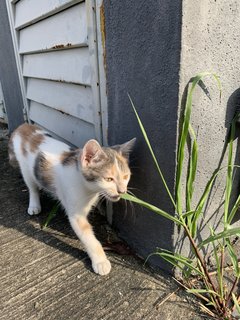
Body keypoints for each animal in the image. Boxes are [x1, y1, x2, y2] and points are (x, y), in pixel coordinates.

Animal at [8, 122, 135, 276]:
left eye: (126, 176)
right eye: (109, 179)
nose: (122, 191)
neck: (86, 187)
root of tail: (24, 126)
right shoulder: (76, 214)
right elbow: (88, 237)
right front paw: (100, 261)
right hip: (26, 169)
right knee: (31, 186)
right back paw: (34, 205)